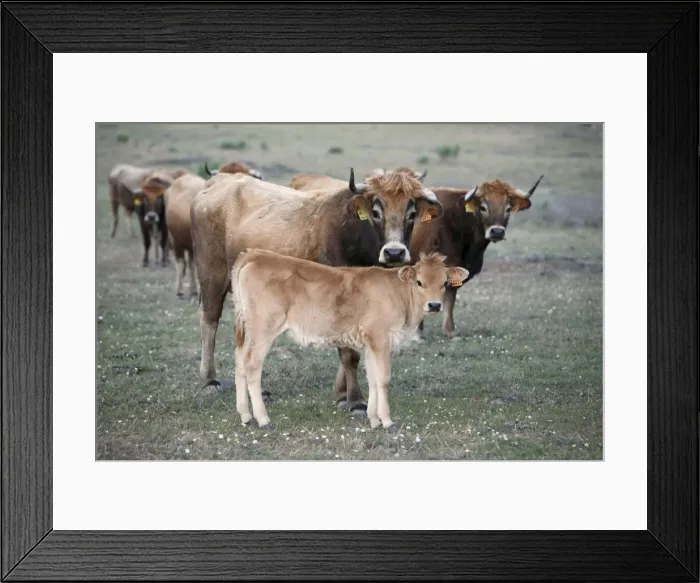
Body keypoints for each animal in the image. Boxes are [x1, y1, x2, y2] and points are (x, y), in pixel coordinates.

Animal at [190, 168, 443, 415]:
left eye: (411, 213)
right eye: (376, 212)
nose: (394, 253)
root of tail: (218, 182)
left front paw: (341, 393)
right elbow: (349, 353)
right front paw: (355, 400)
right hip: (212, 274)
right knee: (209, 320)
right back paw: (210, 380)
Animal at [231, 249, 469, 431]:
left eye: (445, 283)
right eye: (419, 282)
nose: (435, 305)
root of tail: (255, 254)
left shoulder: (370, 343)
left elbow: (372, 379)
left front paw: (374, 420)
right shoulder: (381, 339)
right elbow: (383, 379)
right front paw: (388, 422)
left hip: (248, 332)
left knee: (239, 362)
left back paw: (246, 416)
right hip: (264, 329)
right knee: (252, 366)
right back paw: (263, 420)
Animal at [409, 175, 544, 339]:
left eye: (508, 208)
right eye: (483, 207)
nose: (497, 231)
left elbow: (450, 299)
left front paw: (450, 332)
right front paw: (418, 333)